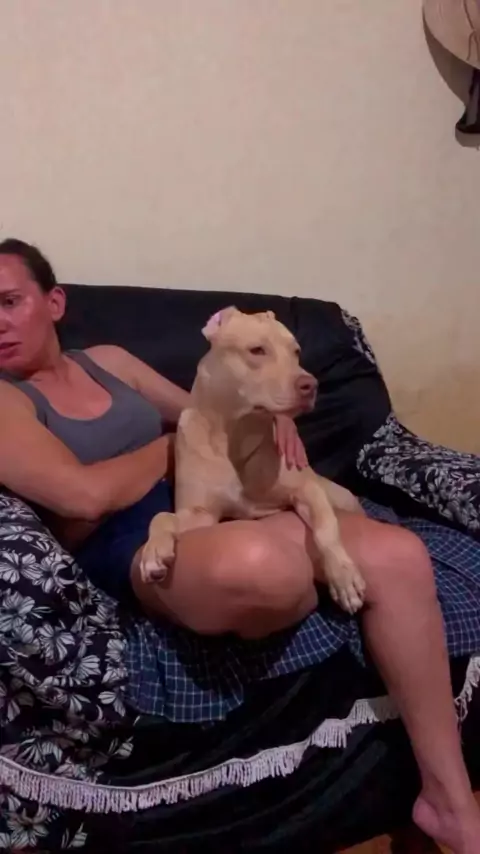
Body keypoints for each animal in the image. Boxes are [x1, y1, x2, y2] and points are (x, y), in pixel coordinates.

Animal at [140, 307, 366, 614]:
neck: (236, 435)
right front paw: (154, 551)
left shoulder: (306, 490)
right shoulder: (200, 515)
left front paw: (344, 576)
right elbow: (162, 516)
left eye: (296, 351)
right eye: (257, 350)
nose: (310, 385)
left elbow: (326, 527)